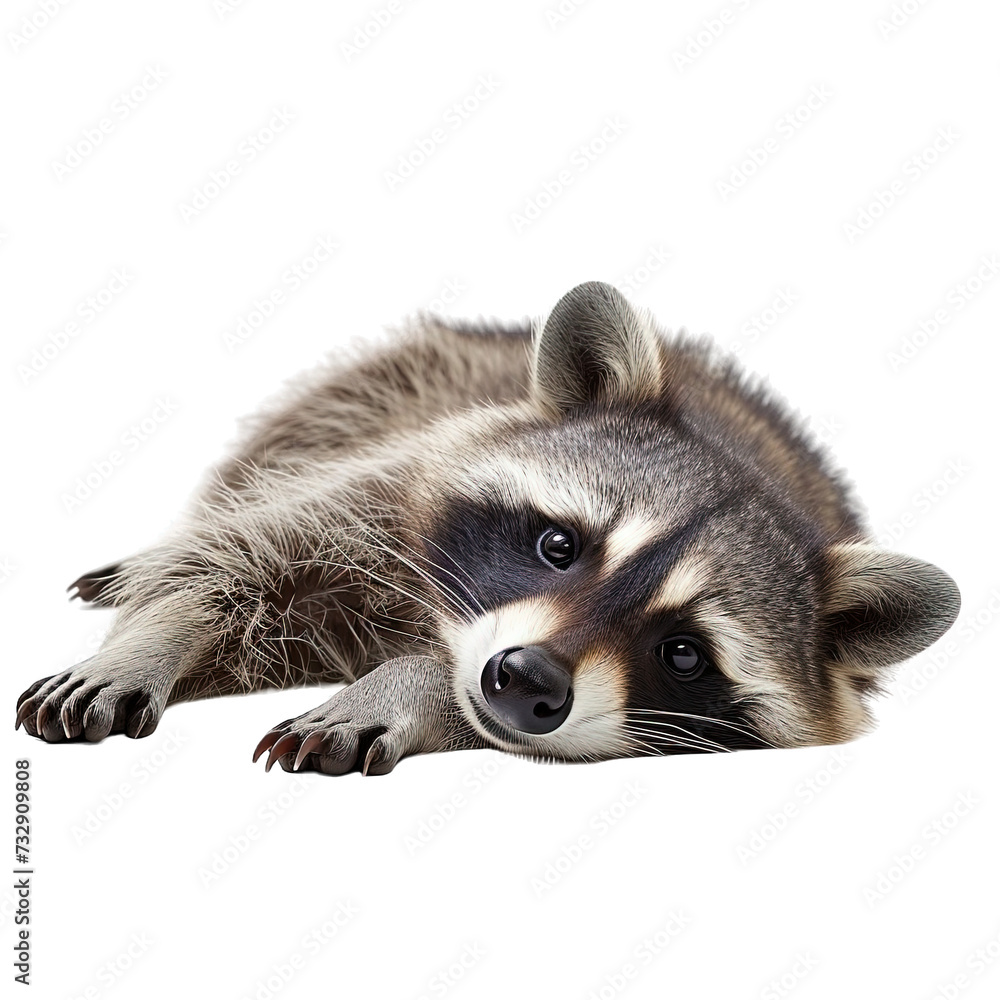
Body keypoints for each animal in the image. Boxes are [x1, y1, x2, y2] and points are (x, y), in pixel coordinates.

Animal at [16, 281, 960, 775]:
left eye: (684, 653)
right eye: (559, 546)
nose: (527, 679)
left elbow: (448, 688)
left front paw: (404, 687)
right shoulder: (389, 479)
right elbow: (242, 562)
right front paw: (152, 638)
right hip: (366, 391)